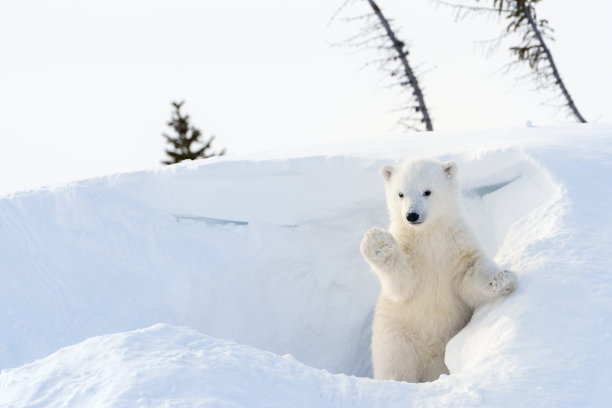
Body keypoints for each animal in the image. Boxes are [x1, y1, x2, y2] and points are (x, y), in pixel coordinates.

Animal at [360, 159, 520, 382]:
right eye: (400, 194)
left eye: (427, 191)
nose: (412, 215)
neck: (428, 234)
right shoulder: (410, 250)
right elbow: (403, 283)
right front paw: (378, 243)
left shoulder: (456, 244)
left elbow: (469, 273)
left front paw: (502, 279)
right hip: (396, 336)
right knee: (396, 366)